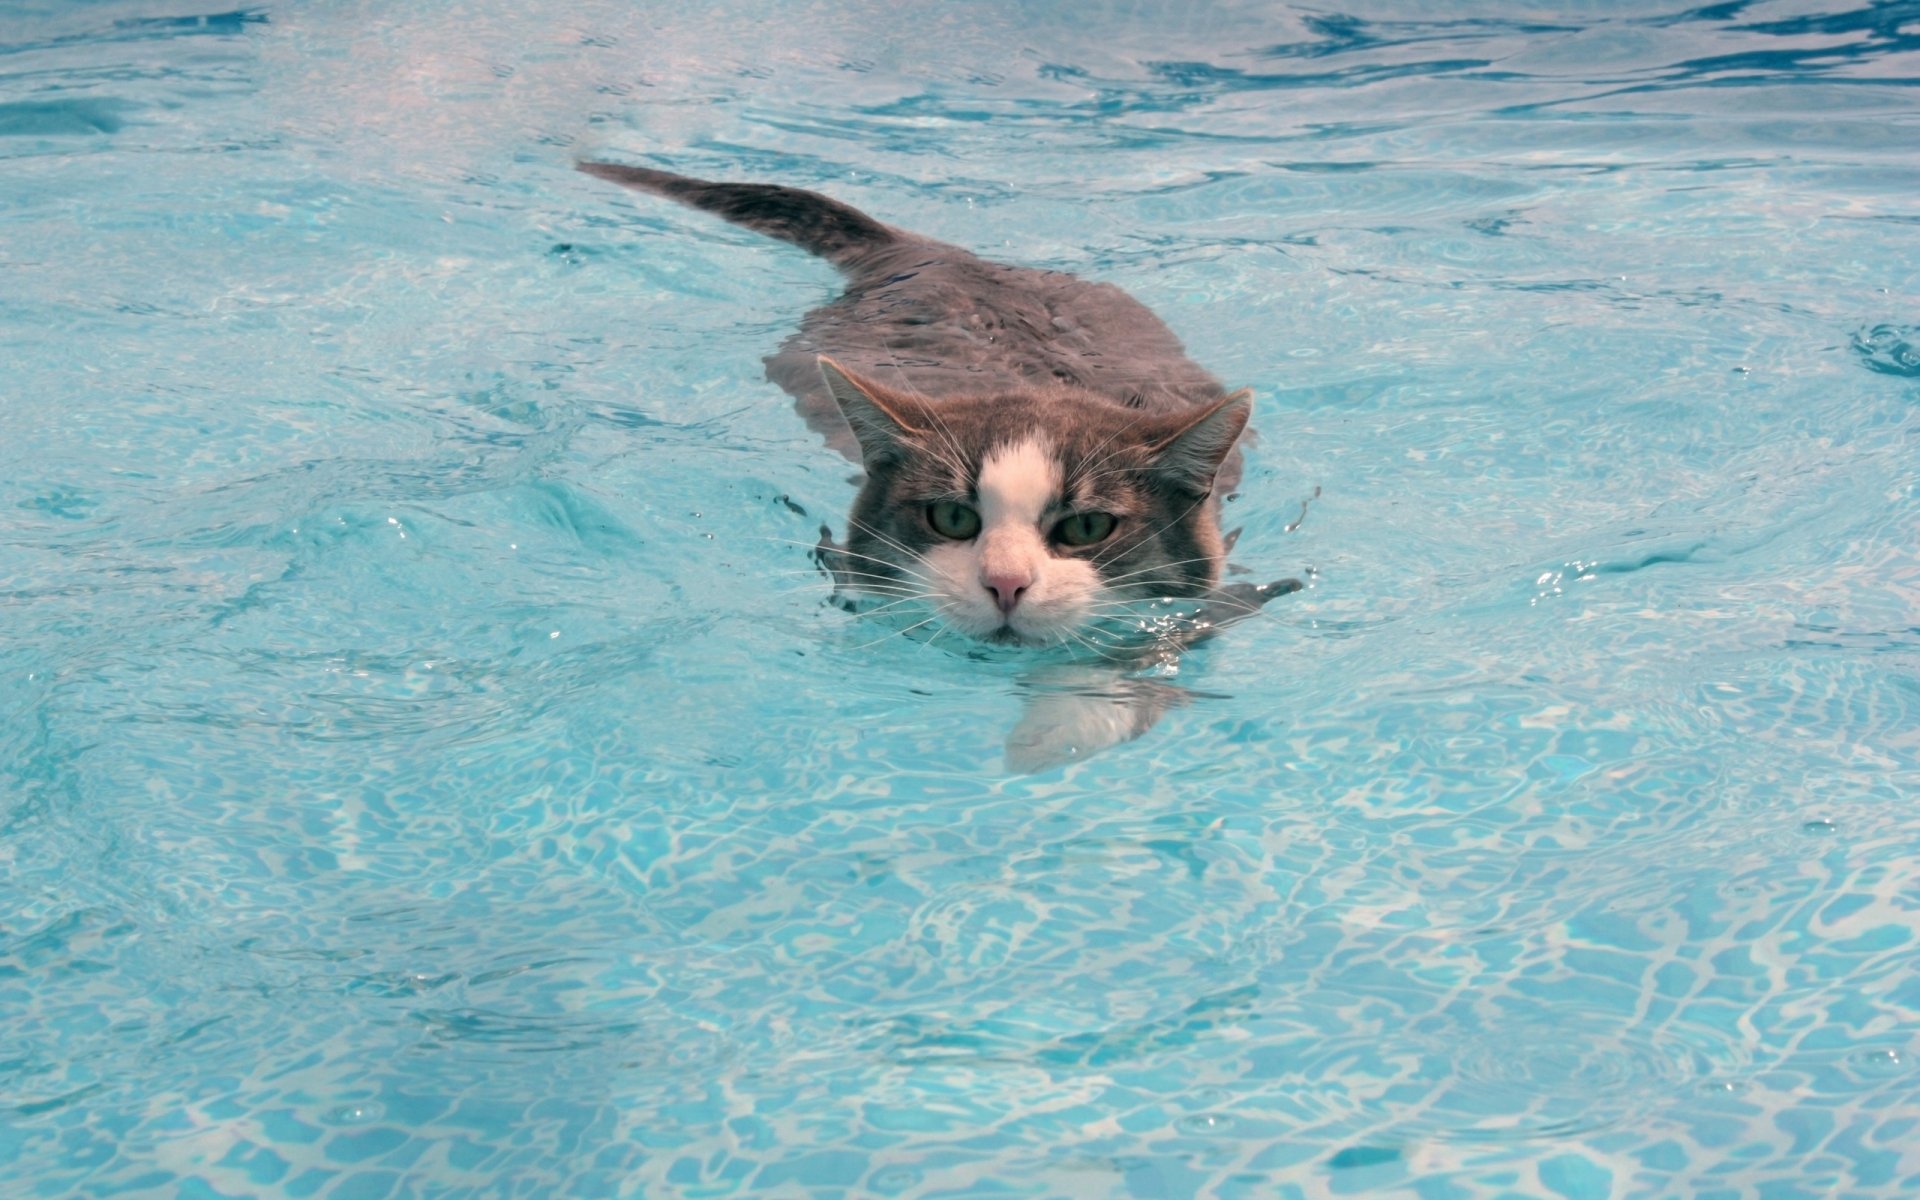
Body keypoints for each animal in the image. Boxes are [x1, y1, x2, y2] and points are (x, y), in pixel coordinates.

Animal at [576, 156, 1297, 756]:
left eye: (1088, 526)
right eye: (952, 518)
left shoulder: (1213, 600)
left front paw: (1055, 725)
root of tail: (933, 253)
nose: (1005, 584)